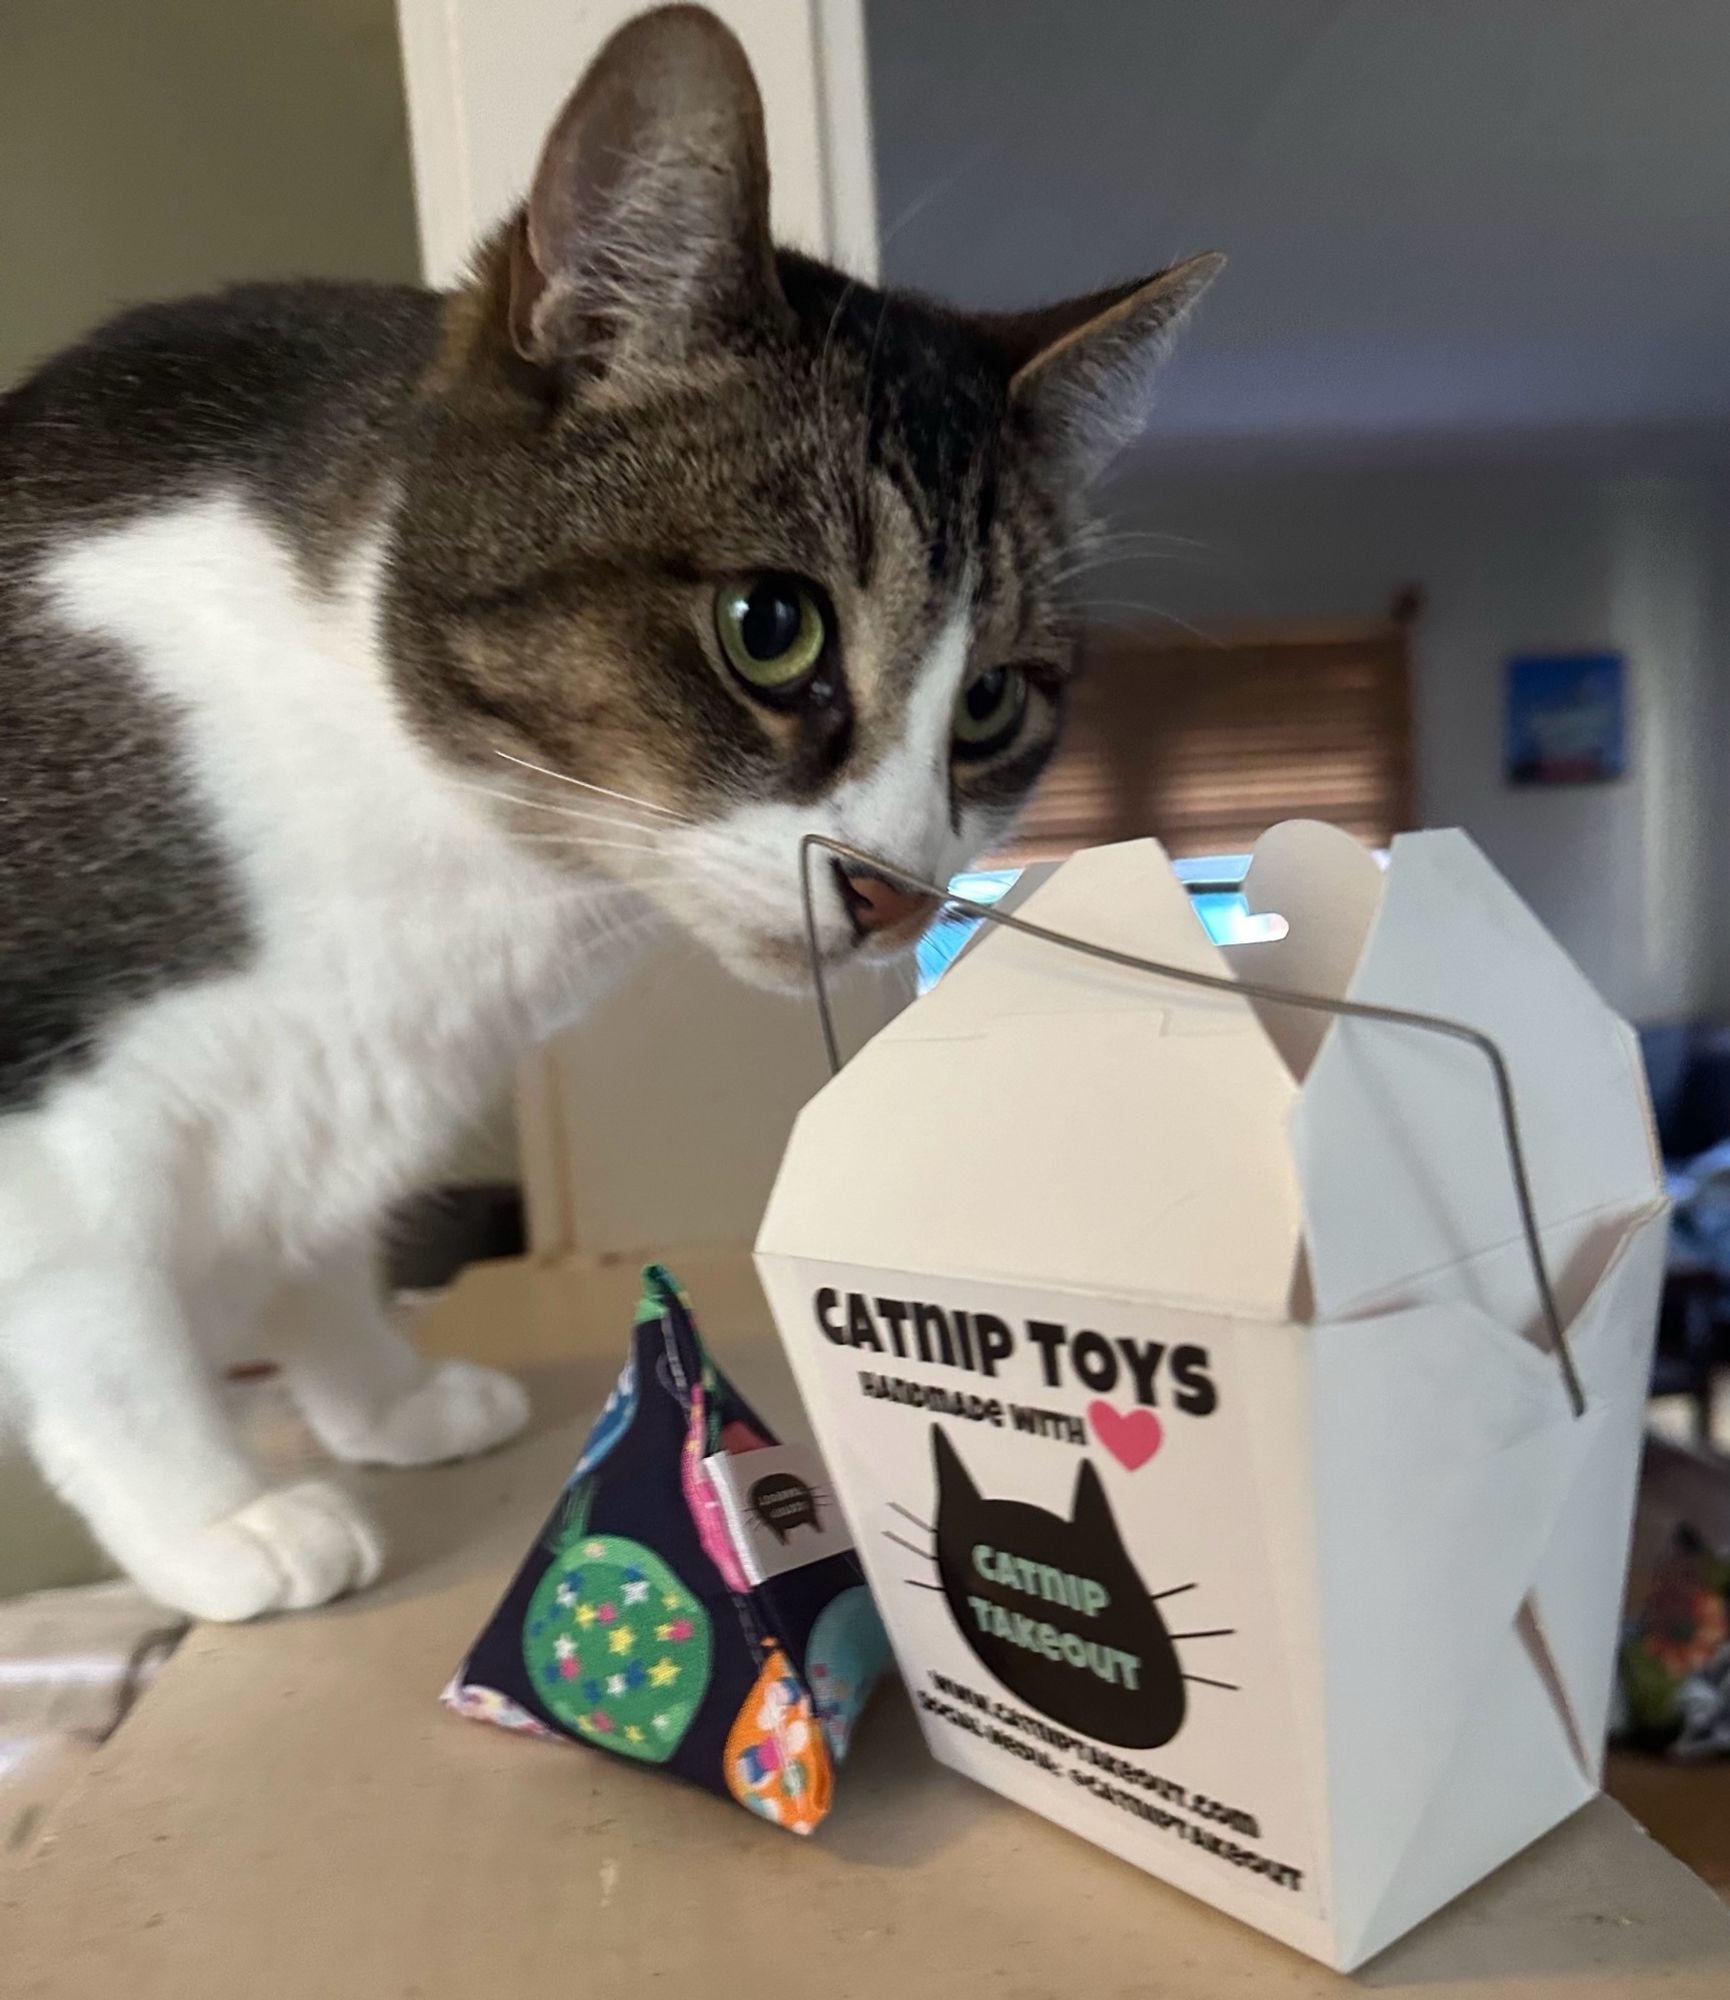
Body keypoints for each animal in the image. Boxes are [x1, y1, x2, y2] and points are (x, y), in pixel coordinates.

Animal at [0, 3, 1216, 1624]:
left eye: (990, 704)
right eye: (770, 626)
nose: (894, 887)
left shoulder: (326, 1083)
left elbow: (316, 1243)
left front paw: (382, 1395)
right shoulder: (50, 1106)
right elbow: (101, 1318)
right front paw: (217, 1513)